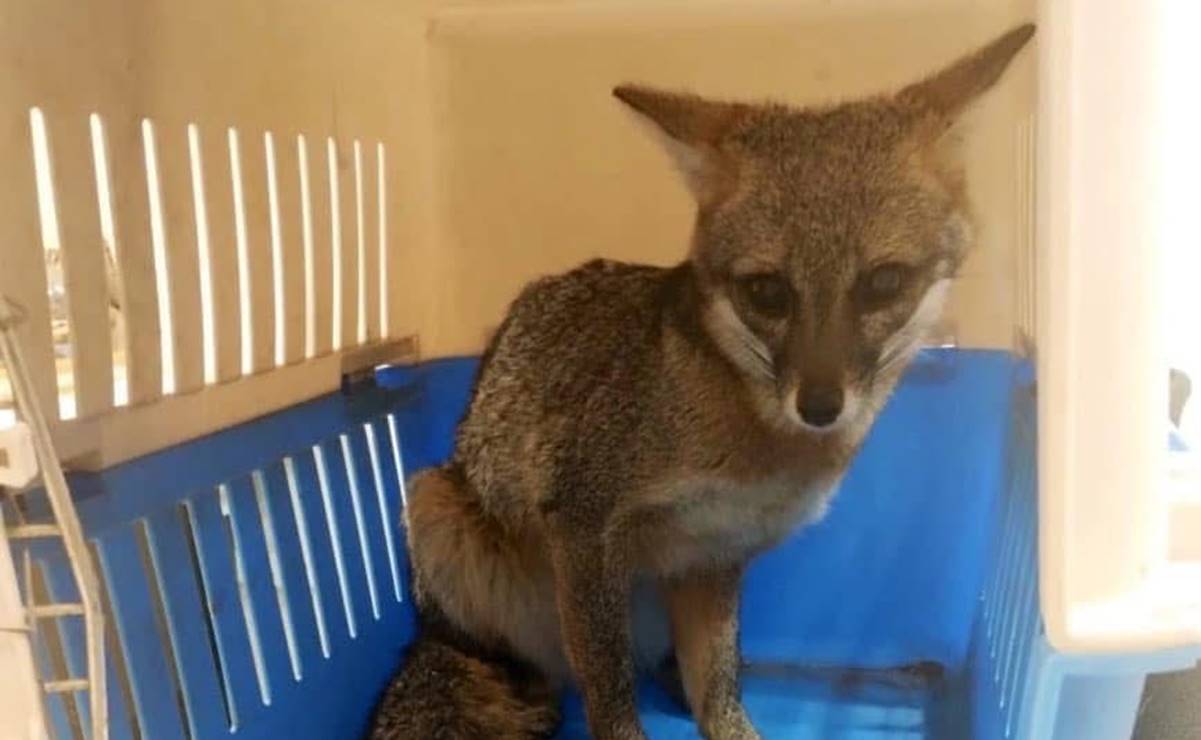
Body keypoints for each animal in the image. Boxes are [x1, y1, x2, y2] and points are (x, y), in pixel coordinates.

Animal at [369, 23, 1035, 740]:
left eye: (884, 283)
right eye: (767, 291)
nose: (819, 406)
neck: (757, 459)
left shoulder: (712, 559)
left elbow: (718, 681)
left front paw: (733, 723)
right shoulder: (583, 529)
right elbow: (610, 694)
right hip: (438, 508)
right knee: (534, 667)